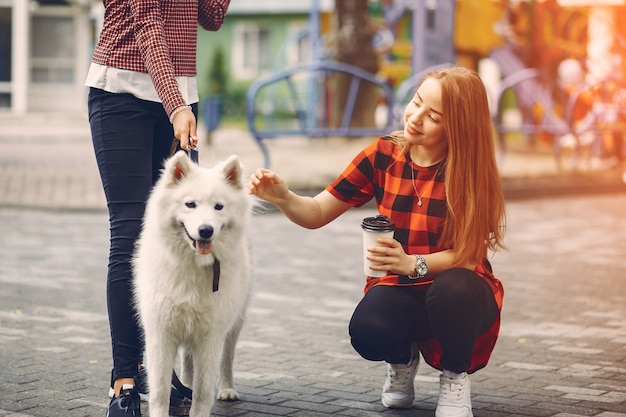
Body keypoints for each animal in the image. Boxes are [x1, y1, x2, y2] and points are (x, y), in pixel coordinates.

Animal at [133, 150, 252, 416]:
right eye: (190, 204)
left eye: (219, 206)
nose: (205, 230)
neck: (193, 265)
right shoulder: (161, 334)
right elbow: (160, 390)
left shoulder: (210, 336)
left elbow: (203, 389)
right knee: (187, 362)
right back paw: (185, 385)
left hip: (234, 323)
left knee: (227, 358)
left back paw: (227, 388)